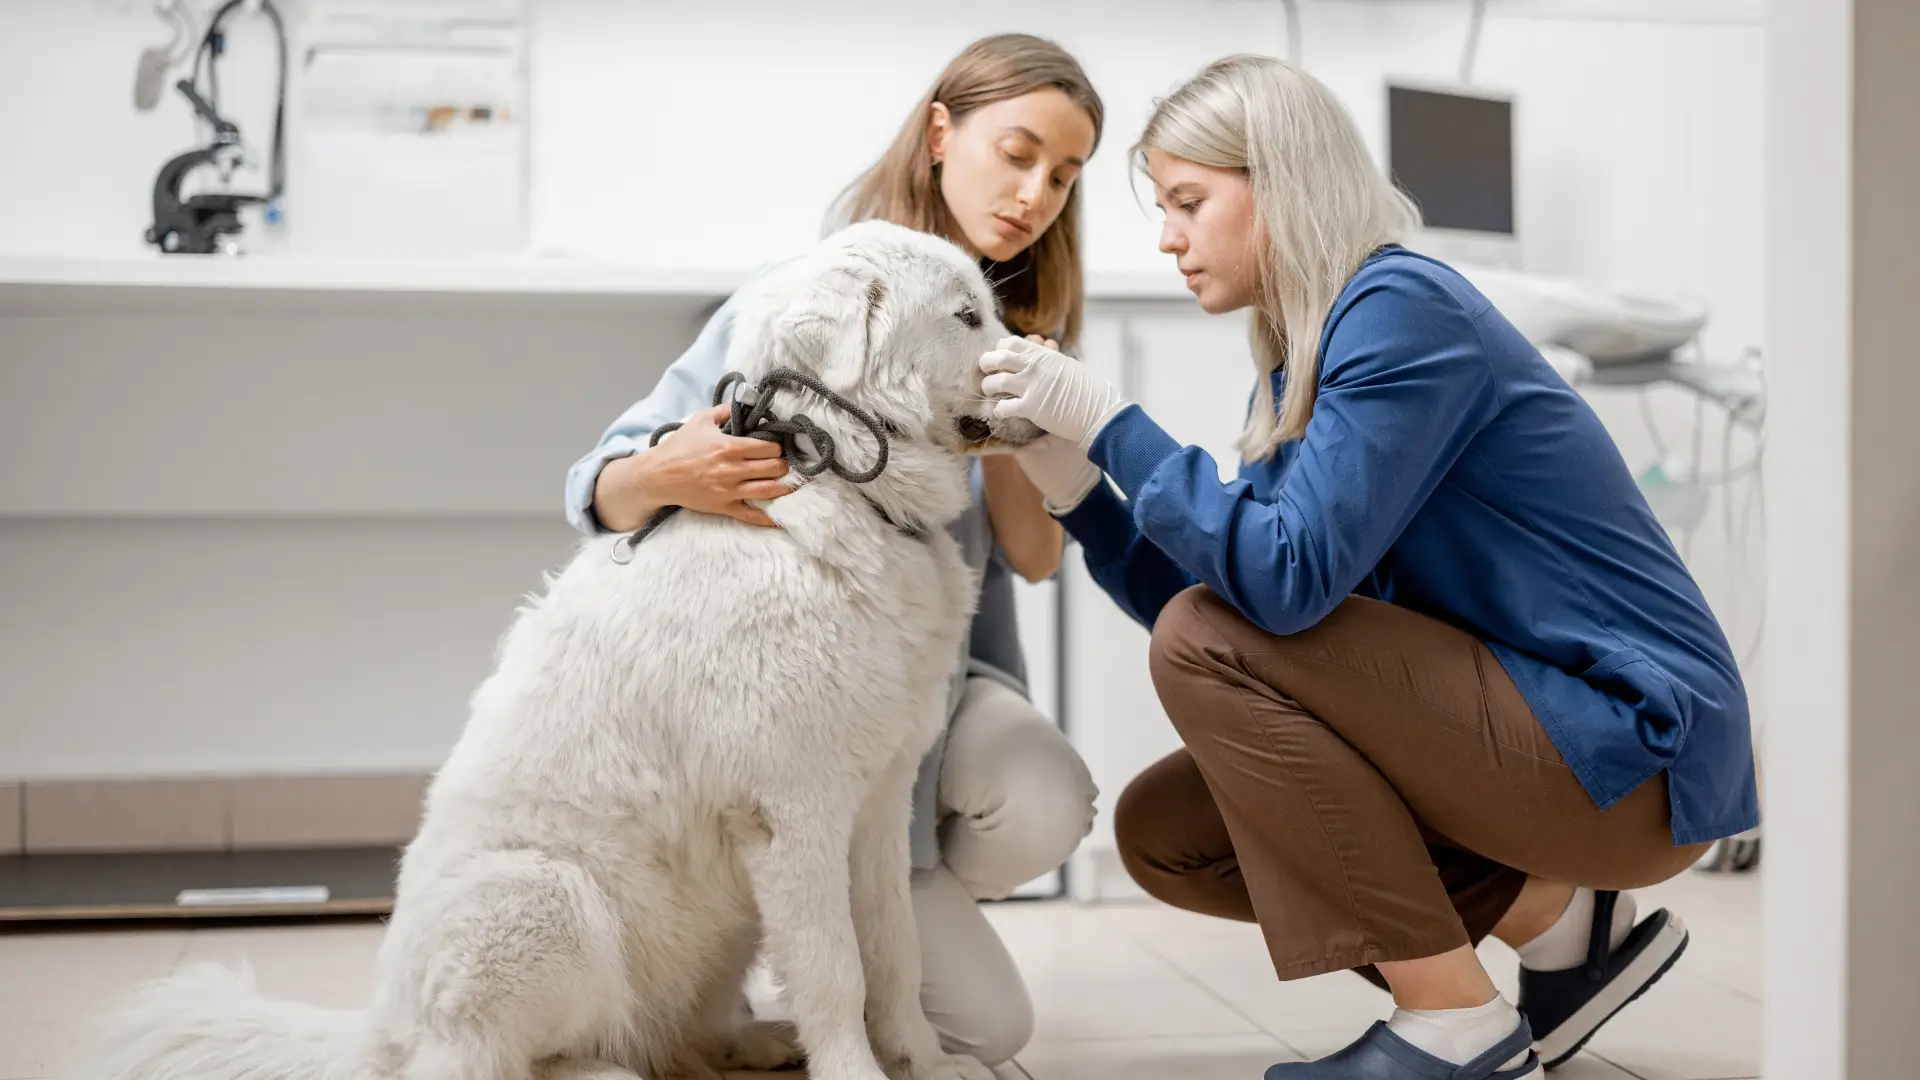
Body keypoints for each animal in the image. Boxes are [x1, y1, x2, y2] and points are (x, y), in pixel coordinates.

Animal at [78, 216, 1036, 1076]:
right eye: (965, 316)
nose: (1043, 357)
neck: (835, 479)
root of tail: (377, 1033)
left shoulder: (875, 806)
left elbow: (894, 955)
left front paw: (927, 1063)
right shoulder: (791, 812)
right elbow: (836, 973)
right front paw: (855, 1069)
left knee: (672, 1033)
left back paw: (747, 1042)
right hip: (548, 901)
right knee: (481, 1063)